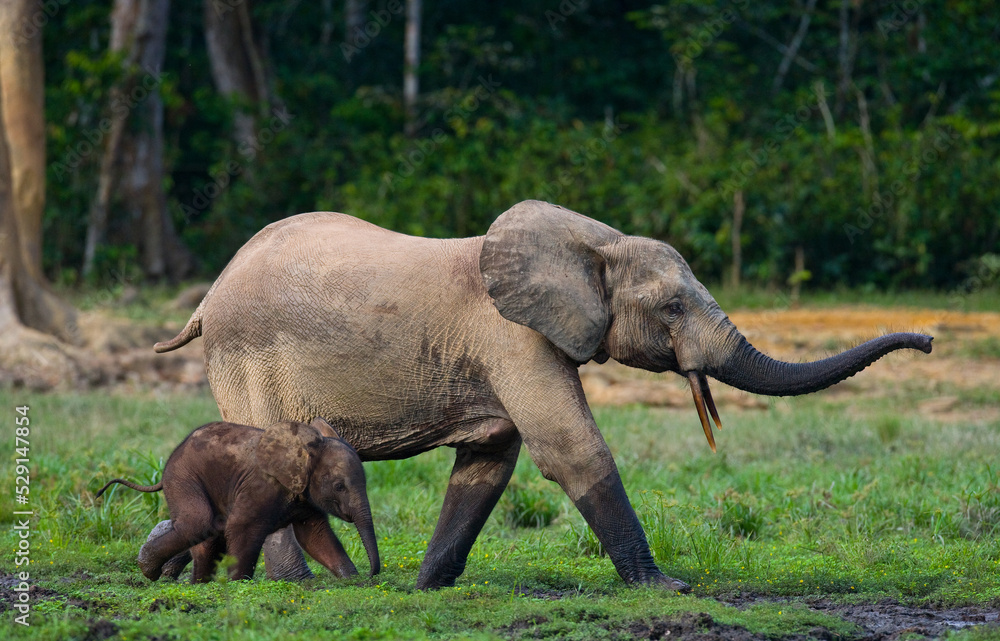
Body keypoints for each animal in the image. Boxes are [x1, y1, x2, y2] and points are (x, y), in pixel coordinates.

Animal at [96, 417, 380, 582]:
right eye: (339, 486)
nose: (370, 576)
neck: (305, 449)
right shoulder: (260, 485)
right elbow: (243, 528)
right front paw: (238, 584)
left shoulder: (304, 495)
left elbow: (316, 537)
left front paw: (351, 580)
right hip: (184, 478)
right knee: (198, 524)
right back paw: (150, 571)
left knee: (207, 535)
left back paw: (197, 584)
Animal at [153, 199, 932, 591]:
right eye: (673, 308)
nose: (926, 341)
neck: (594, 242)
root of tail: (207, 297)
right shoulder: (514, 338)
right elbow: (570, 450)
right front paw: (664, 590)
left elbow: (489, 464)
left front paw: (426, 589)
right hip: (245, 355)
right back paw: (295, 589)